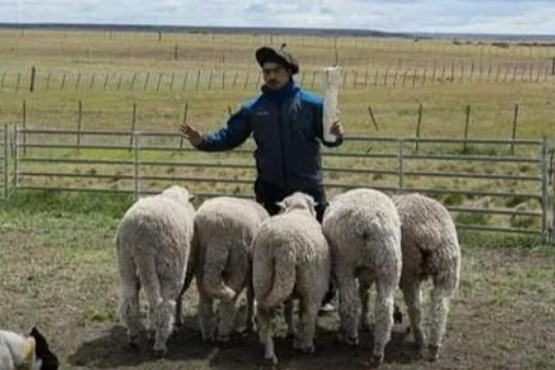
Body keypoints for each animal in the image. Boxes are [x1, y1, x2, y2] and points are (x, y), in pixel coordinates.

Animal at [114, 185, 197, 356]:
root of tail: (141, 237)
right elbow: (179, 297)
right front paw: (177, 322)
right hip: (171, 268)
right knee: (163, 306)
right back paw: (160, 345)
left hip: (126, 263)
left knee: (130, 303)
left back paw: (133, 337)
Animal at [194, 195, 270, 342]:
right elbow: (249, 294)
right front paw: (250, 323)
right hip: (238, 258)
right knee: (230, 295)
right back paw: (223, 333)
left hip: (201, 256)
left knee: (205, 292)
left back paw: (207, 333)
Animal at [252, 192, 330, 366]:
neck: (298, 209)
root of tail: (280, 244)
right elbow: (303, 313)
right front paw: (299, 340)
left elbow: (289, 309)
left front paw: (291, 332)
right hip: (311, 283)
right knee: (309, 313)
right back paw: (306, 345)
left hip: (264, 274)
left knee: (264, 314)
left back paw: (269, 350)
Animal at [322, 188, 404, 364]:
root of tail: (367, 223)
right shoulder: (368, 272)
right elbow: (365, 294)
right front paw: (365, 322)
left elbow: (352, 298)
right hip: (389, 265)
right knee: (384, 309)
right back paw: (378, 351)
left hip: (344, 263)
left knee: (350, 302)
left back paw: (352, 337)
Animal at [394, 194, 462, 362]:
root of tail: (429, 231)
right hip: (448, 267)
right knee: (440, 305)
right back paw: (433, 346)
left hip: (409, 269)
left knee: (414, 306)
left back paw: (420, 339)